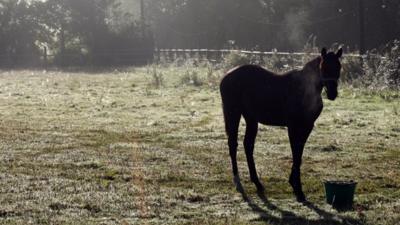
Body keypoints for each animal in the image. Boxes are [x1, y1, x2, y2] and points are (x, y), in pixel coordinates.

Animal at [220, 47, 342, 202]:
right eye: (323, 67)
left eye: (339, 67)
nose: (332, 93)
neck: (304, 89)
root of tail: (226, 76)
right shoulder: (293, 127)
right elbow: (296, 155)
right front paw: (298, 190)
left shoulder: (307, 127)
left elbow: (299, 155)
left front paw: (294, 184)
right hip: (233, 113)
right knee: (233, 144)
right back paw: (238, 182)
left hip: (251, 118)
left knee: (248, 145)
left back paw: (257, 183)